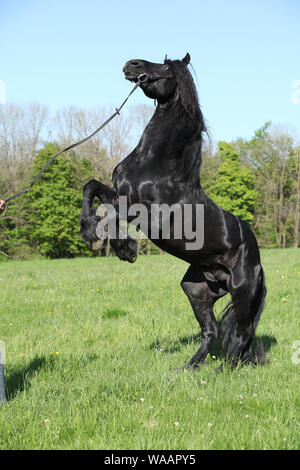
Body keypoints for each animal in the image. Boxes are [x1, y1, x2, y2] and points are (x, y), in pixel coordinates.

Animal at [78, 54, 266, 370]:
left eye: (165, 67)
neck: (157, 164)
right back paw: (188, 368)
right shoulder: (121, 194)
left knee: (241, 334)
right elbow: (91, 188)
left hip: (242, 291)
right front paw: (88, 232)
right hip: (196, 289)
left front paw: (126, 249)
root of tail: (257, 258)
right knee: (212, 331)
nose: (132, 64)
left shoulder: (149, 215)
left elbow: (113, 214)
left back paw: (223, 370)